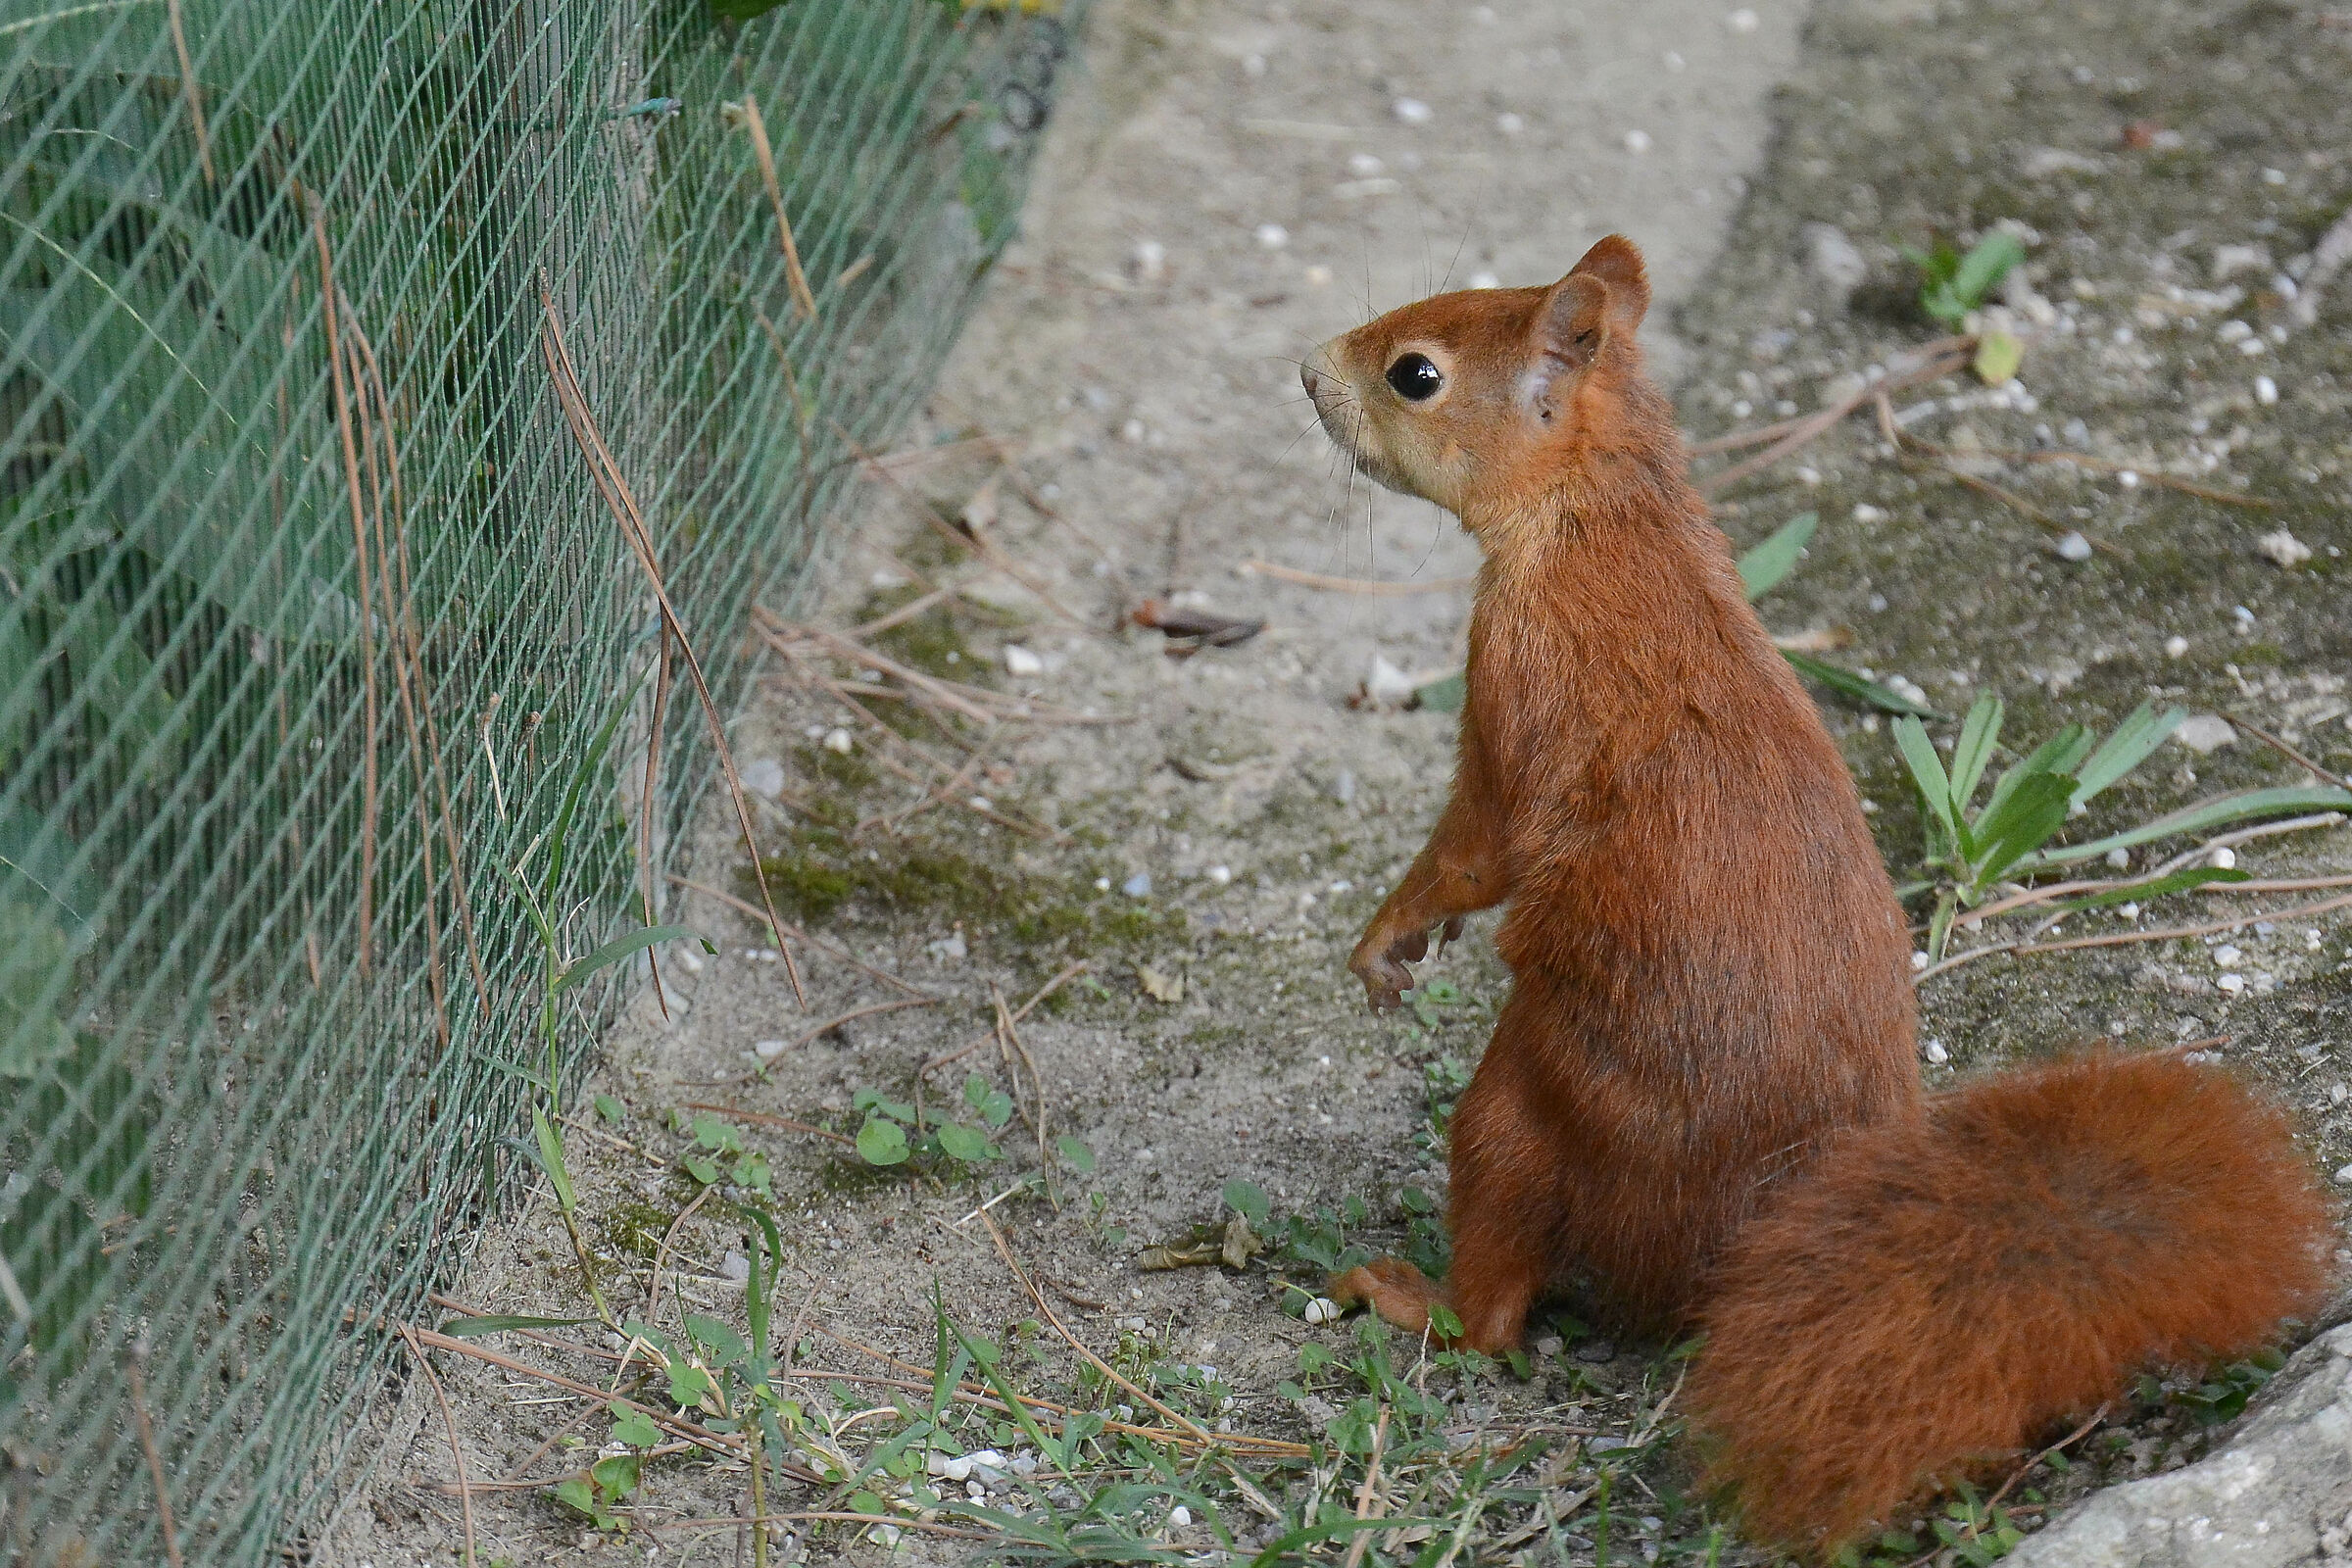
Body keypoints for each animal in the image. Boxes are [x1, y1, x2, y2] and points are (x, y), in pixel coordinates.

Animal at [1299, 234, 2334, 1555]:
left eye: (1416, 374)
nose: (1308, 370)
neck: (1603, 517)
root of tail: (1761, 1235)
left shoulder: (1514, 685)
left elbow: (1472, 847)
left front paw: (1389, 934)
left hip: (1522, 1110)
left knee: (1495, 1311)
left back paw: (1409, 1295)